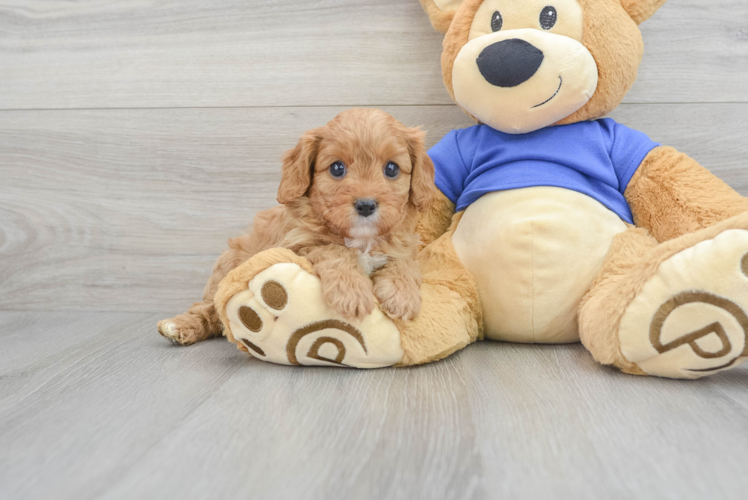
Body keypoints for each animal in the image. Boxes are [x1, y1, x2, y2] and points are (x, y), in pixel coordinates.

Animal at [159, 108, 438, 346]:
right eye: (337, 168)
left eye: (391, 168)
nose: (366, 205)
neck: (361, 239)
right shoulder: (296, 245)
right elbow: (334, 250)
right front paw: (351, 292)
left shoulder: (403, 246)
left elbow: (404, 264)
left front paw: (401, 296)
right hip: (227, 268)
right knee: (208, 309)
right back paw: (178, 326)